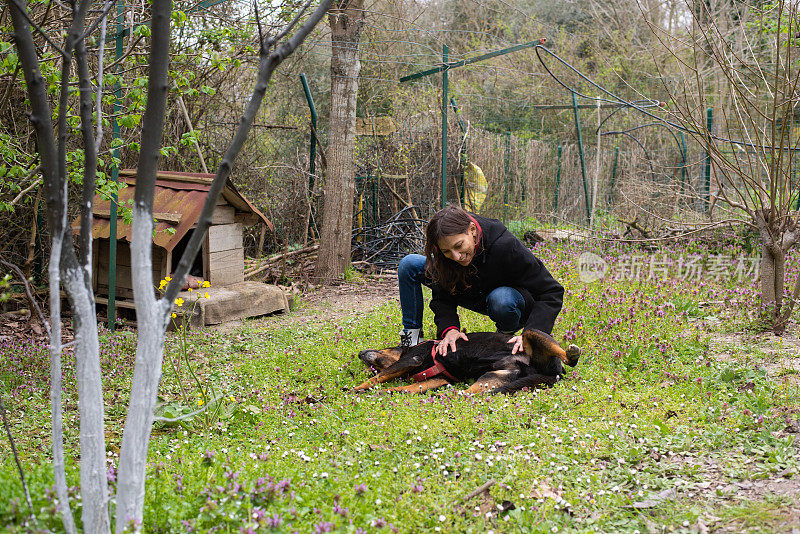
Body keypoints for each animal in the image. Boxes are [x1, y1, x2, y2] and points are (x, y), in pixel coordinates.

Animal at [356, 328, 580, 396]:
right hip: (490, 378)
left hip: (531, 333)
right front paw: (386, 392)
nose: (359, 353)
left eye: (382, 348)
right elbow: (403, 388)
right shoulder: (438, 380)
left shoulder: (411, 358)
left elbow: (378, 377)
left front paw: (357, 388)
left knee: (568, 359)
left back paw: (573, 353)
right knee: (468, 394)